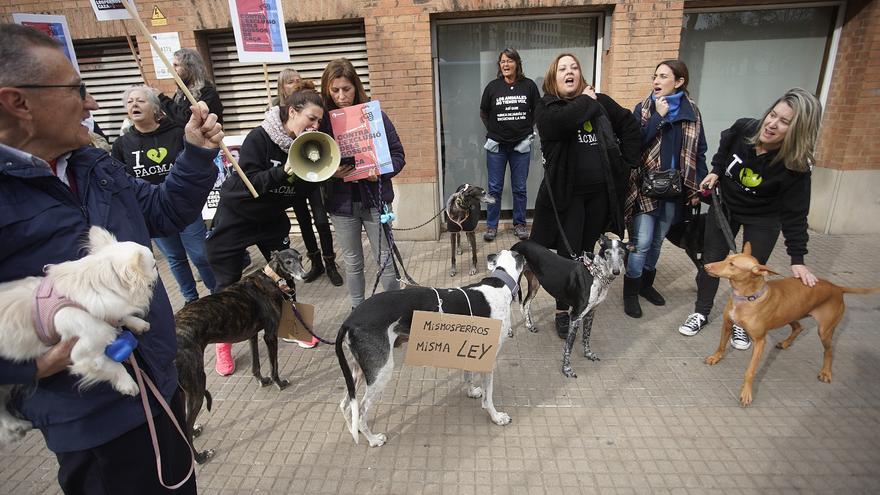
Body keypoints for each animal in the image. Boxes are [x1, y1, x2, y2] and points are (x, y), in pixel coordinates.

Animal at [0, 227, 156, 448]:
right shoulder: (83, 353)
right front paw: (127, 384)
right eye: (153, 265)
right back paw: (14, 426)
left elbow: (119, 317)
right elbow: (112, 365)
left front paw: (137, 323)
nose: (158, 265)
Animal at [700, 243, 880, 406]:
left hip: (824, 330)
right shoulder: (727, 324)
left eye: (732, 264)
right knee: (799, 327)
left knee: (829, 351)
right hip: (791, 313)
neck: (747, 297)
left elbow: (749, 371)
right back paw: (786, 343)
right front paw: (715, 357)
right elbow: (721, 345)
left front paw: (746, 393)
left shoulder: (760, 342)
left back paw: (826, 372)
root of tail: (836, 287)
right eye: (726, 258)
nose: (706, 265)